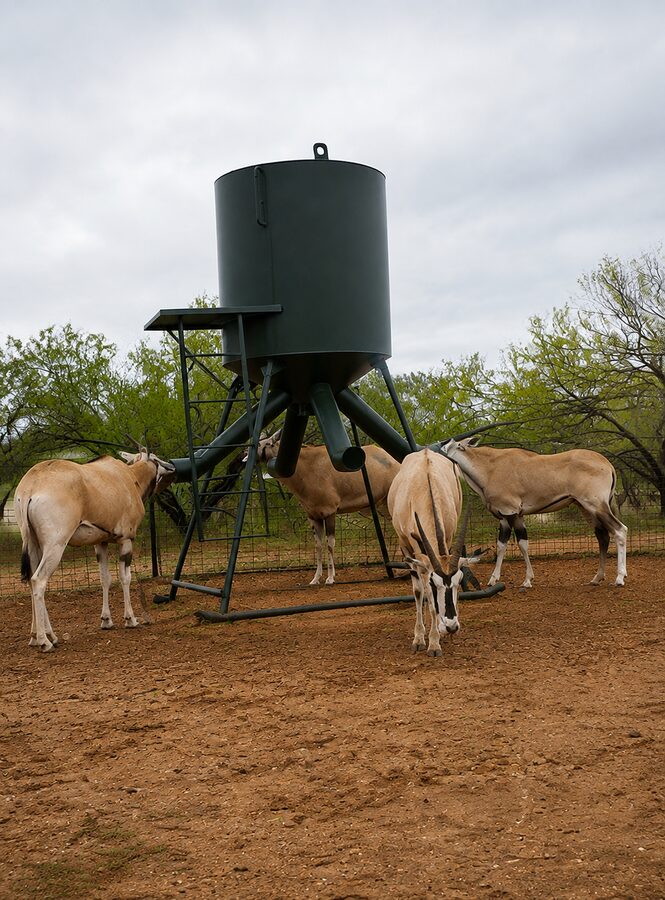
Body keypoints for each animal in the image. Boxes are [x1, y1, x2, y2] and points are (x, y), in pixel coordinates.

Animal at [14, 449, 176, 651]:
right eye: (155, 458)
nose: (171, 467)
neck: (130, 477)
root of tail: (31, 485)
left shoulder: (101, 543)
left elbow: (105, 579)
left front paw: (106, 620)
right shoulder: (126, 540)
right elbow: (125, 578)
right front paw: (130, 619)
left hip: (34, 545)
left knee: (30, 580)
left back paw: (39, 636)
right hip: (55, 545)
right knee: (39, 580)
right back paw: (46, 641)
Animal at [255, 432, 401, 585]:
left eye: (268, 443)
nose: (248, 453)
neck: (305, 468)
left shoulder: (330, 512)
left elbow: (330, 544)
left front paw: (330, 578)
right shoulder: (314, 516)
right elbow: (318, 545)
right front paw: (316, 578)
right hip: (384, 507)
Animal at [387, 448, 482, 657]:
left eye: (458, 582)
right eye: (434, 584)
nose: (452, 626)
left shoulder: (448, 539)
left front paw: (437, 638)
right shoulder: (413, 551)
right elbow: (425, 598)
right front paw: (425, 641)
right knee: (418, 592)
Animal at [440, 437, 628, 588]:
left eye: (449, 445)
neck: (489, 468)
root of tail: (607, 464)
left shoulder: (510, 513)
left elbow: (516, 544)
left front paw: (525, 580)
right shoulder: (510, 517)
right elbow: (508, 545)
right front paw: (498, 579)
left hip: (597, 506)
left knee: (620, 530)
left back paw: (619, 577)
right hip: (587, 509)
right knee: (603, 536)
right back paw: (597, 577)